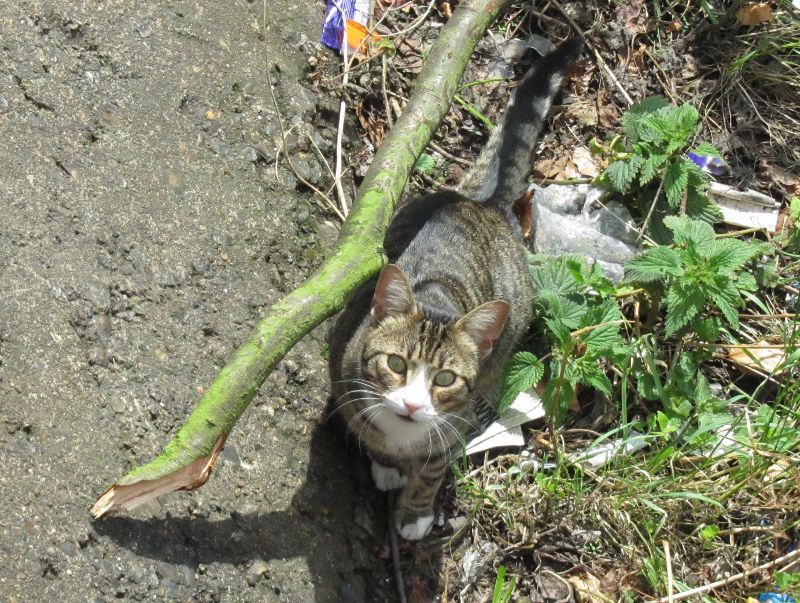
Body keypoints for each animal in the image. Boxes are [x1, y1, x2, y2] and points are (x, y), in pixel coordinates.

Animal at [328, 35, 584, 540]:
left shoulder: (446, 436)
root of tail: (485, 203)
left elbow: (431, 471)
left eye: (445, 379)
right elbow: (374, 441)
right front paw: (387, 466)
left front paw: (415, 513)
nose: (411, 404)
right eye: (395, 364)